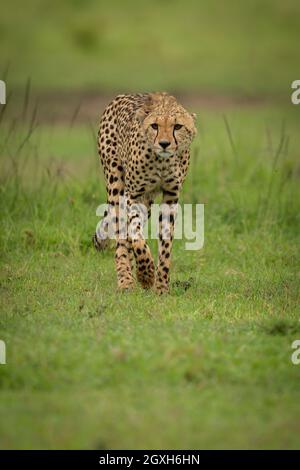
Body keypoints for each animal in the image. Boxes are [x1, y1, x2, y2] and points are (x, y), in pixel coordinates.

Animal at [94, 92, 197, 294]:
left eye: (178, 126)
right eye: (154, 126)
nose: (164, 144)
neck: (162, 162)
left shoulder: (171, 197)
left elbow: (165, 244)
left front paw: (161, 287)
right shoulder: (134, 195)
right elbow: (137, 236)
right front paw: (146, 275)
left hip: (147, 202)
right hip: (116, 184)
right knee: (121, 237)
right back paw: (126, 280)